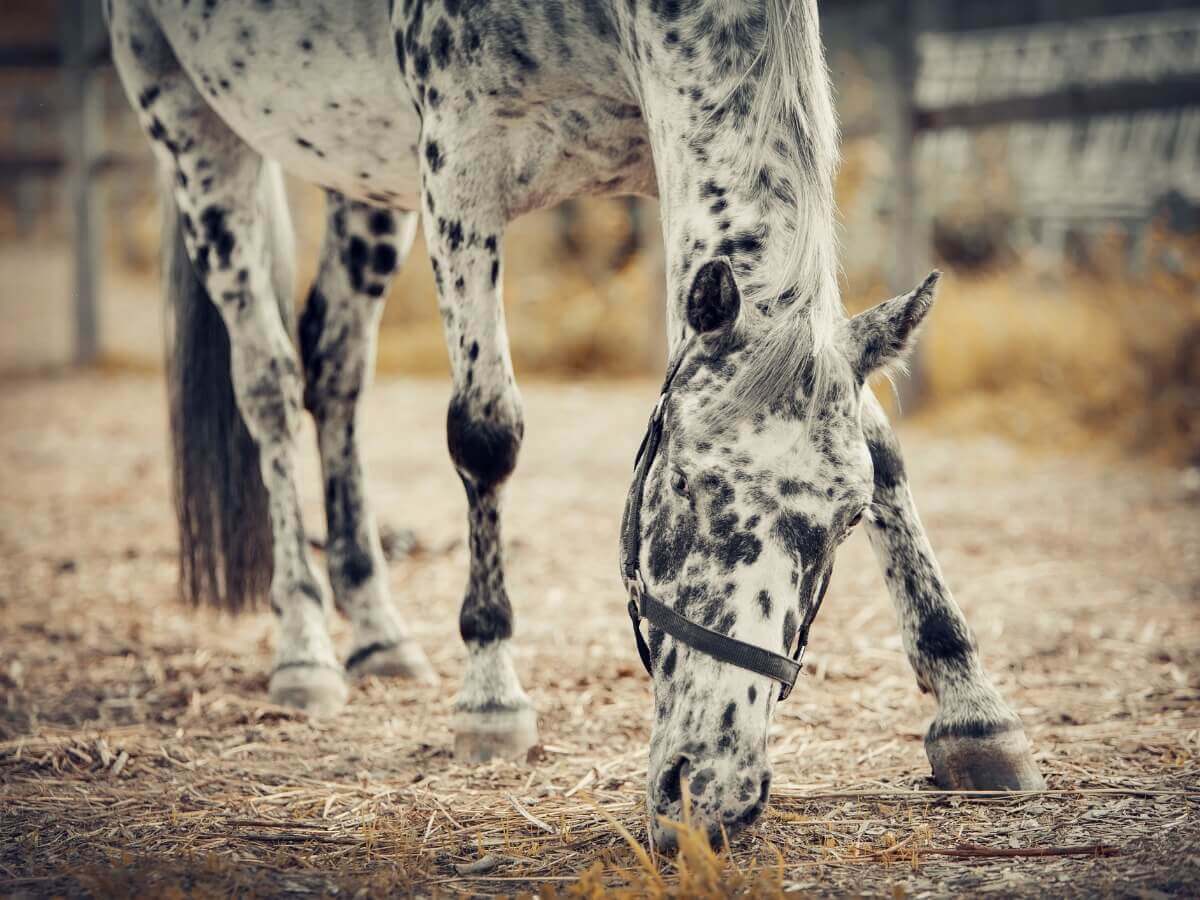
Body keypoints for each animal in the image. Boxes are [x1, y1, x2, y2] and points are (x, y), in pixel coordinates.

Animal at [105, 0, 1044, 850]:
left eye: (846, 522)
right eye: (686, 486)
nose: (714, 799)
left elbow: (879, 439)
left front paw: (971, 706)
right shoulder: (459, 173)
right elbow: (484, 431)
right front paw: (490, 693)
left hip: (359, 175)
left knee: (335, 368)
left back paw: (377, 633)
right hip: (189, 123)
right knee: (267, 380)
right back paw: (303, 648)